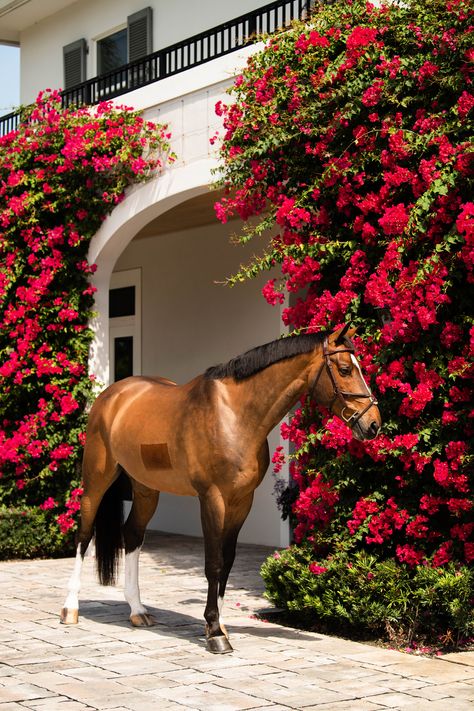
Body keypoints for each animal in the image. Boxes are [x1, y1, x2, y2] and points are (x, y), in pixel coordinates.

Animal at [60, 326, 382, 652]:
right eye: (345, 369)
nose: (373, 424)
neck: (236, 416)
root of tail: (112, 395)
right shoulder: (212, 498)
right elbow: (213, 563)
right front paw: (215, 633)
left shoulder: (241, 501)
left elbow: (227, 561)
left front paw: (219, 624)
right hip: (97, 478)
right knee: (84, 534)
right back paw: (70, 608)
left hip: (146, 489)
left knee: (133, 534)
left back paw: (137, 611)